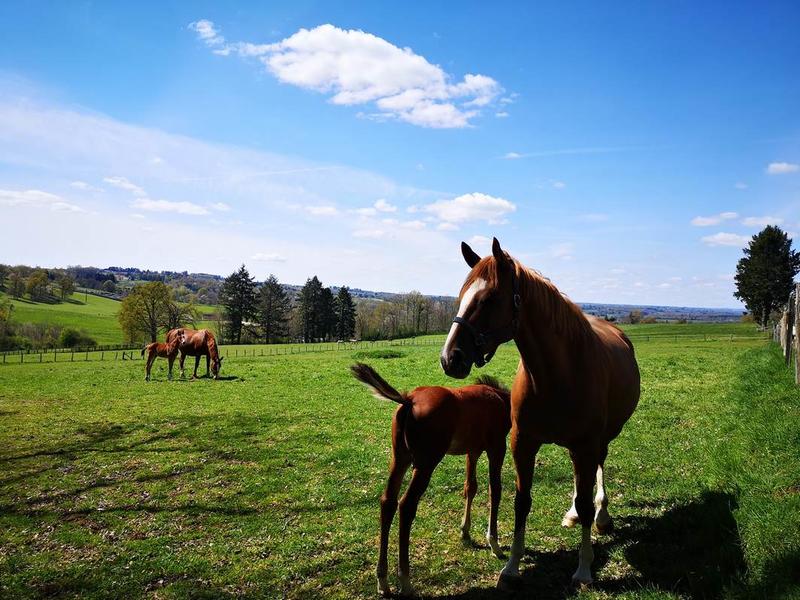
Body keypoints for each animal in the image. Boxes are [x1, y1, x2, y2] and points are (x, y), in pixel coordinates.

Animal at [351, 362, 511, 597]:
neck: (500, 399)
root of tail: (409, 399)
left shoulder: (473, 450)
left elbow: (470, 487)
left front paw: (465, 531)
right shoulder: (497, 447)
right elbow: (495, 490)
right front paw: (494, 544)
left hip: (400, 458)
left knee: (387, 501)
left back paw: (383, 581)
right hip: (426, 463)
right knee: (406, 505)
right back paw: (405, 581)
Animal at [440, 238, 640, 589]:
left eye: (489, 299)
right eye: (462, 295)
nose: (450, 357)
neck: (556, 374)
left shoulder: (586, 444)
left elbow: (586, 500)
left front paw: (584, 569)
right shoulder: (523, 443)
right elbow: (522, 502)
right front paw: (511, 566)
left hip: (600, 439)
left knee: (598, 472)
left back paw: (601, 515)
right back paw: (572, 513)